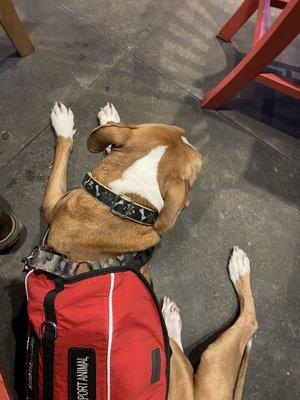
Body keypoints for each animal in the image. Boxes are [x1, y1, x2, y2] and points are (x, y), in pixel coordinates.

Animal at [44, 102, 258, 400]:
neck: (123, 201)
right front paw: (108, 121)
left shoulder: (51, 202)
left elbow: (60, 160)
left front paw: (67, 126)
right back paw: (171, 318)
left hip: (211, 358)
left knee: (249, 321)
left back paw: (238, 267)